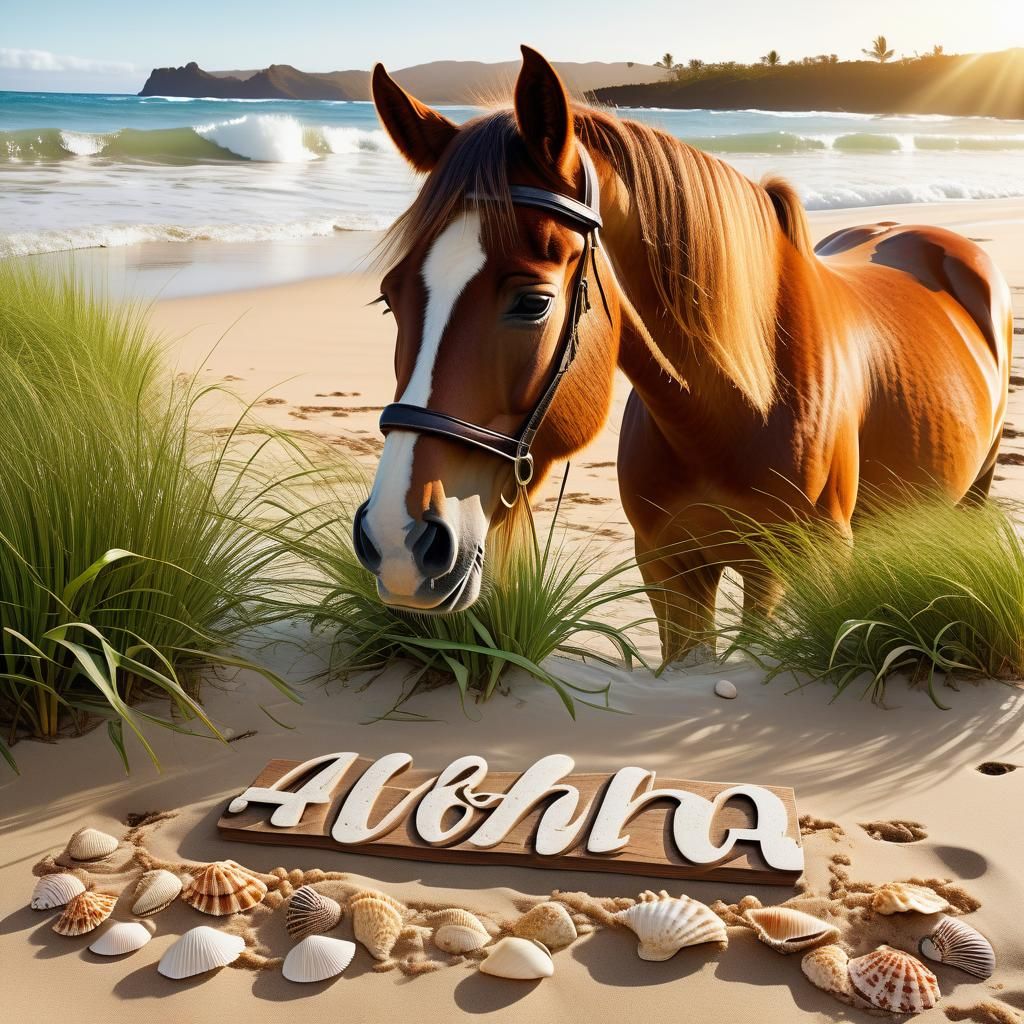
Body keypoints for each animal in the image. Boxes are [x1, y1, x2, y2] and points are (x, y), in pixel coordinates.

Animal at [352, 45, 1012, 662]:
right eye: (389, 297)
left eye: (533, 302)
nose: (397, 541)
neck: (737, 409)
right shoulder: (671, 571)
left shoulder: (795, 565)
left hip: (970, 497)